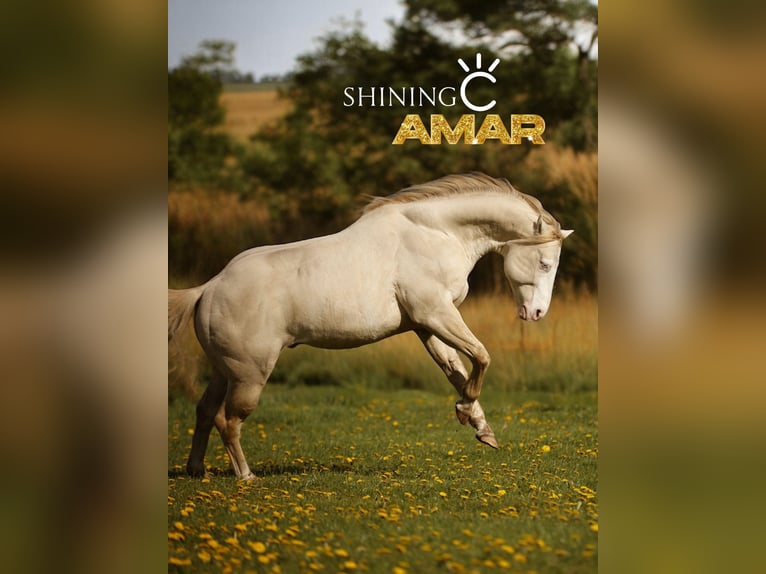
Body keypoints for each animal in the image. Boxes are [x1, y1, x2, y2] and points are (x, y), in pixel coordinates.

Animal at [169, 173, 572, 480]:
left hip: (224, 372)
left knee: (204, 412)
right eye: (545, 263)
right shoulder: (436, 314)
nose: (537, 313)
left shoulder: (426, 325)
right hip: (250, 375)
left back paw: (196, 470)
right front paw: (467, 413)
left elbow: (456, 369)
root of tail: (209, 287)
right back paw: (246, 475)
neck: (436, 235)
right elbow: (482, 357)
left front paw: (478, 424)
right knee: (227, 420)